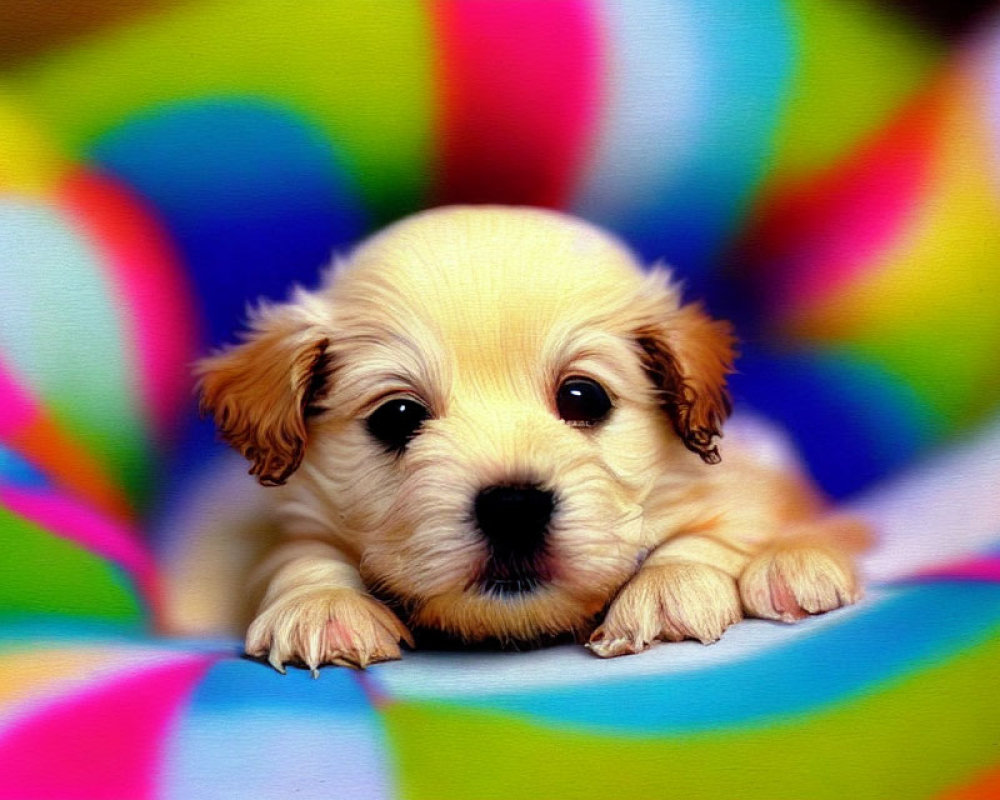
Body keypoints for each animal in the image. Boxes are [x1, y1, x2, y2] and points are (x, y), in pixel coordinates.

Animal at [195, 208, 868, 676]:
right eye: (397, 416)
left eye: (583, 398)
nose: (513, 507)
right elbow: (297, 553)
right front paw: (323, 605)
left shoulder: (742, 483)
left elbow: (718, 528)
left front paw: (670, 589)